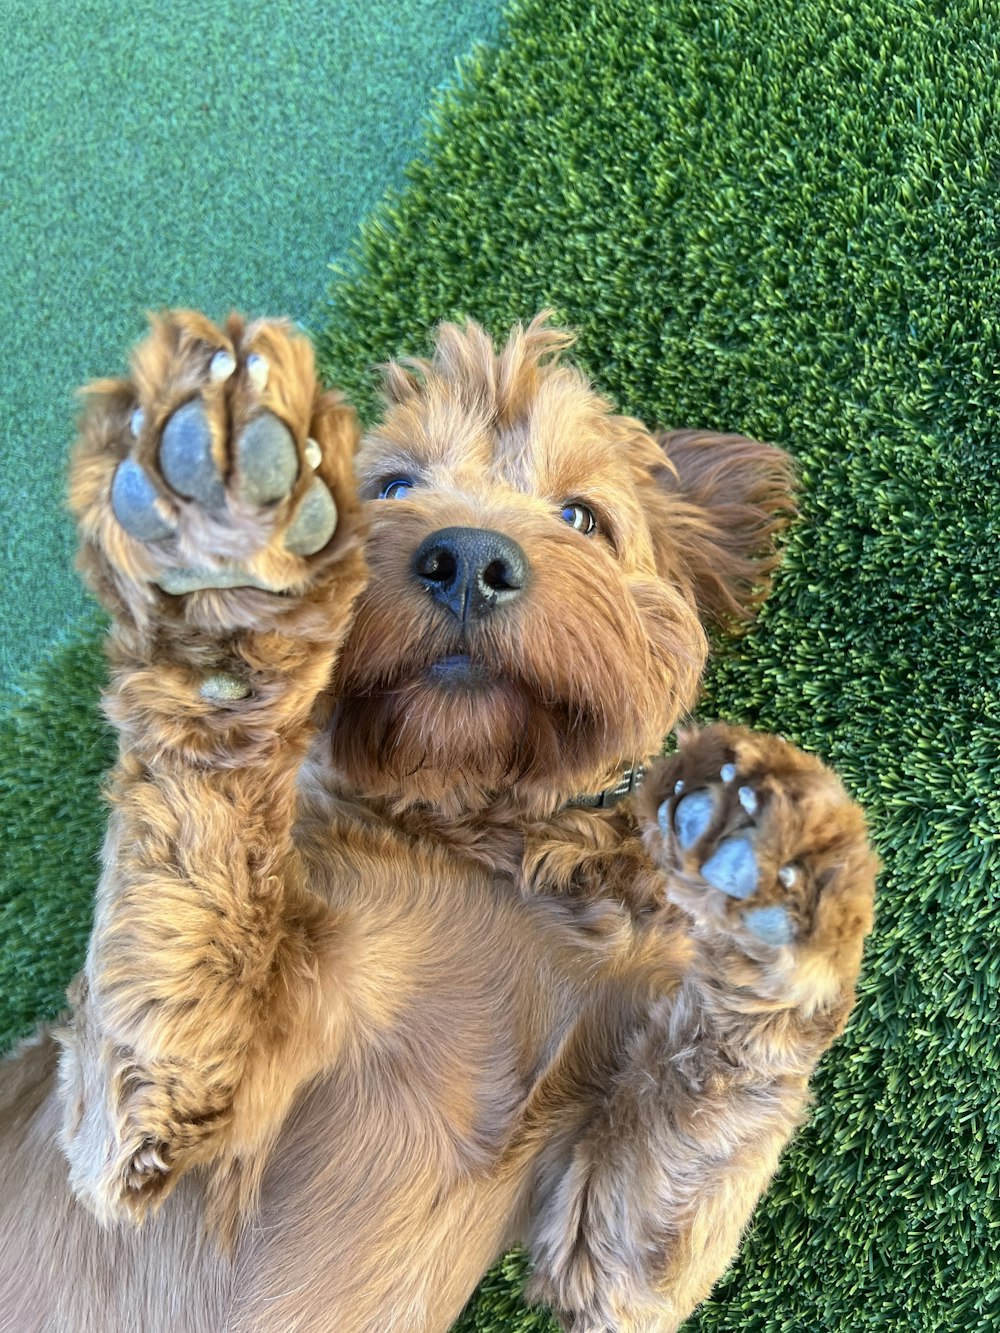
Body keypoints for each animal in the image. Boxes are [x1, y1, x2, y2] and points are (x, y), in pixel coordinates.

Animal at [0, 311, 874, 1333]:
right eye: (392, 486)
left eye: (582, 517)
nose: (469, 560)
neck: (480, 839)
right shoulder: (131, 1120)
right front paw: (229, 521)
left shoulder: (605, 1235)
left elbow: (683, 1155)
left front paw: (783, 870)